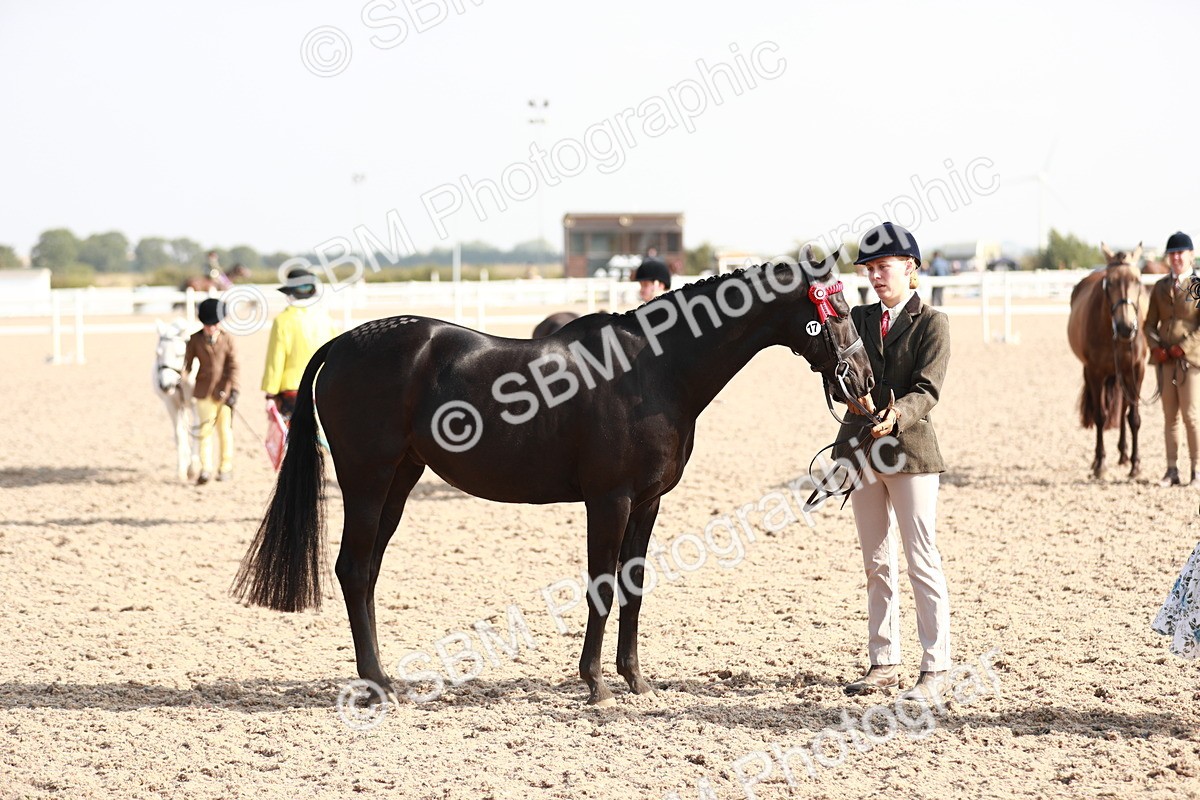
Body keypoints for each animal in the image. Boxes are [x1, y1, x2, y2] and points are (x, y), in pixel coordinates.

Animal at [153, 319, 200, 482]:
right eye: (158, 353)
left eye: (179, 354)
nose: (165, 386)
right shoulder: (171, 404)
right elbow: (179, 434)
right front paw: (182, 470)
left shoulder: (197, 403)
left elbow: (198, 431)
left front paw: (194, 468)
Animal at [232, 257, 876, 707]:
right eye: (839, 310)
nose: (864, 378)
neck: (654, 370)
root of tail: (346, 342)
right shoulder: (609, 501)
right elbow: (602, 586)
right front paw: (595, 684)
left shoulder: (648, 503)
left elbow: (634, 585)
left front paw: (635, 679)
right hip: (367, 479)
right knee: (351, 567)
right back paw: (376, 684)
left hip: (400, 480)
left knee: (365, 572)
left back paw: (384, 677)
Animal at [1067, 242, 1147, 478]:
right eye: (1109, 283)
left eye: (1138, 280)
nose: (1126, 328)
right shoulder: (1094, 372)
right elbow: (1100, 416)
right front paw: (1100, 464)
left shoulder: (1136, 370)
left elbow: (1134, 418)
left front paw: (1136, 464)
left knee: (1123, 410)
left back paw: (1124, 454)